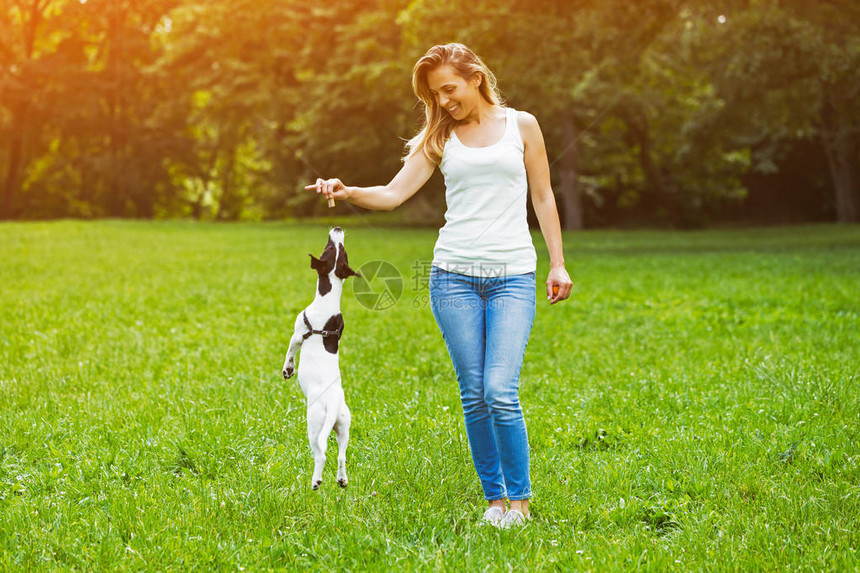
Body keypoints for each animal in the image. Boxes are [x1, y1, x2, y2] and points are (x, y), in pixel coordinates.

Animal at [284, 226, 362, 490]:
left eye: (330, 248)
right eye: (337, 249)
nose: (338, 228)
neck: (328, 300)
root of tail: (334, 402)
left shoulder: (298, 333)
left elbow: (290, 352)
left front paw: (288, 370)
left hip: (315, 425)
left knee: (321, 453)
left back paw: (316, 480)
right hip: (344, 425)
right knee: (341, 455)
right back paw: (342, 479)